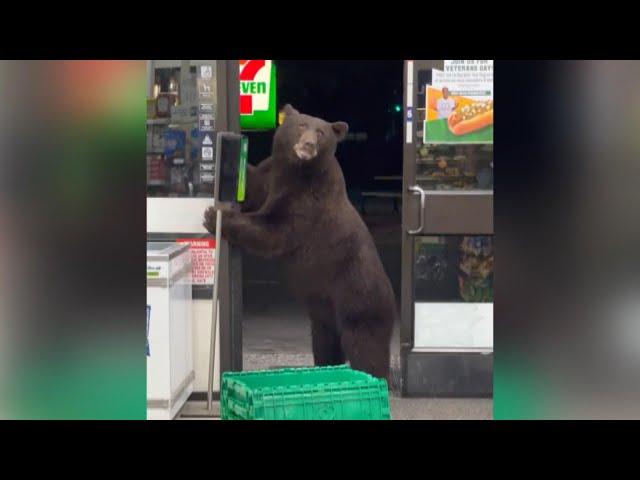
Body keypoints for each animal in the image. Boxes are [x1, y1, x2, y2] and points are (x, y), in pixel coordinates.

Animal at [205, 106, 396, 382]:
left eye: (321, 132)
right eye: (301, 125)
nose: (308, 144)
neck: (297, 170)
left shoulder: (307, 204)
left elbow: (273, 230)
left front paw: (214, 217)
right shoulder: (272, 175)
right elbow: (254, 186)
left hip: (360, 300)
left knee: (366, 348)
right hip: (324, 317)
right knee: (325, 346)